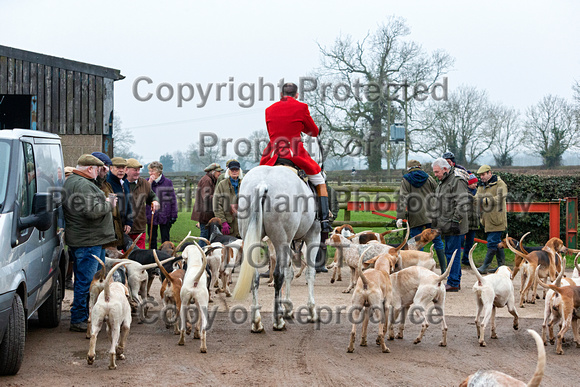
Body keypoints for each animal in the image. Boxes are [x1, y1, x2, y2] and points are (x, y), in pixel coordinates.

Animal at [232, 165, 322, 332]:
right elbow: (309, 273)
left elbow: (289, 273)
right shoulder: (313, 235)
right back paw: (278, 321)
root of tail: (263, 183)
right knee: (278, 275)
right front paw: (311, 310)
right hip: (282, 241)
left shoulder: (289, 244)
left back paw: (257, 322)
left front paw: (287, 307)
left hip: (256, 240)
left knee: (255, 276)